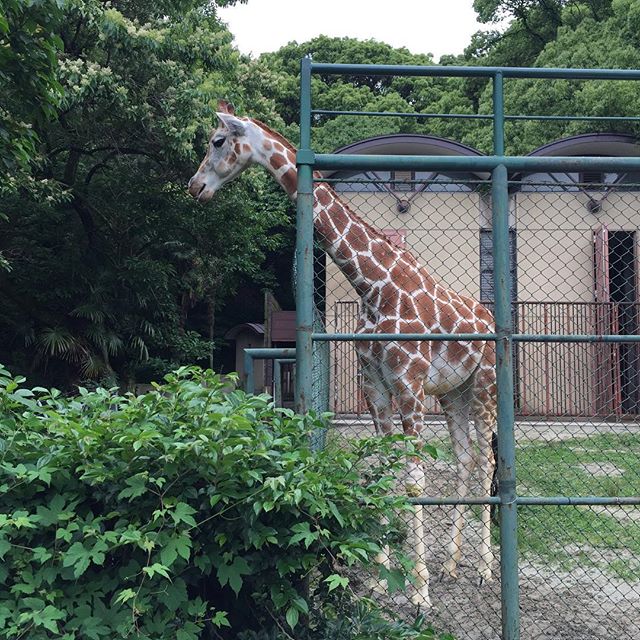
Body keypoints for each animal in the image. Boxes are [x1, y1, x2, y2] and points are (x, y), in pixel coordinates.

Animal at [188, 99, 498, 604]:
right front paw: (381, 574)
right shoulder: (374, 385)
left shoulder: (409, 384)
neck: (374, 289)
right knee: (466, 459)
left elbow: (413, 476)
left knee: (488, 459)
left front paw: (419, 591)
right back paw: (454, 566)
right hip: (455, 393)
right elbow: (385, 469)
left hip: (486, 383)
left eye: (217, 141)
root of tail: (489, 318)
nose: (195, 187)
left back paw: (486, 572)